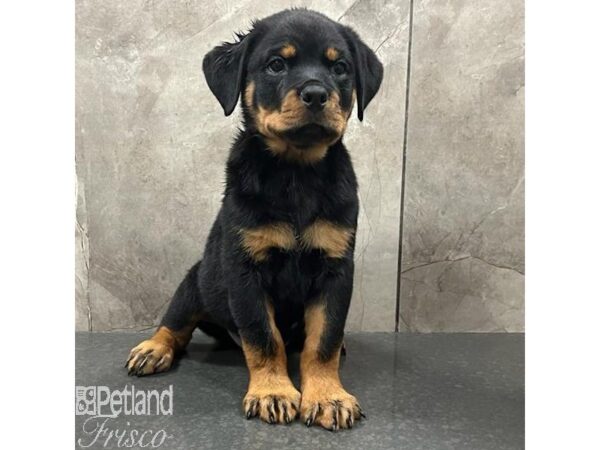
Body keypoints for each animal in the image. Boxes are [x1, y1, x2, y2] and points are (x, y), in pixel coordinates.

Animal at [125, 7, 384, 428]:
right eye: (276, 64)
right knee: (175, 322)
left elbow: (323, 340)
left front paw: (328, 396)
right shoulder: (245, 268)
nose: (317, 94)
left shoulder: (335, 268)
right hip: (197, 280)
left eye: (340, 67)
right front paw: (273, 392)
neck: (296, 172)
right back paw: (153, 348)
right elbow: (264, 337)